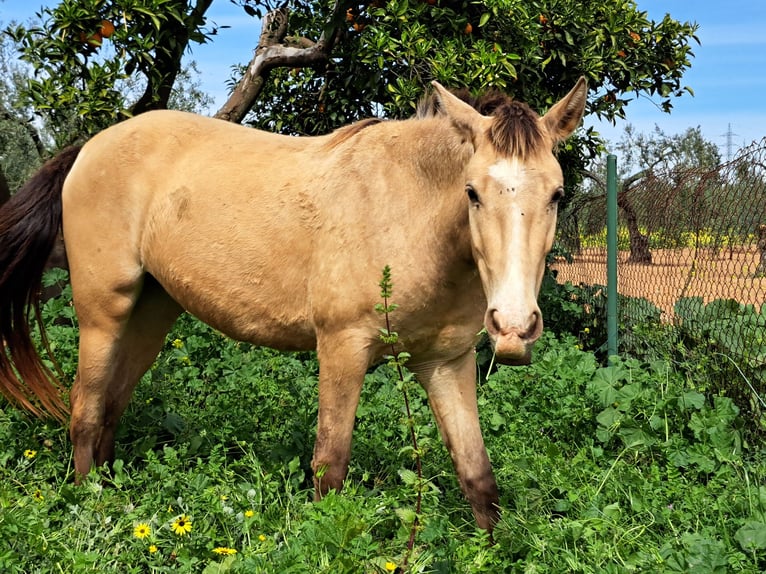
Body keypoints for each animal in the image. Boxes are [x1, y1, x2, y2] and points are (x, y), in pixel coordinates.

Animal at [0, 80, 588, 532]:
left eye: (557, 195)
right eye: (472, 193)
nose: (514, 326)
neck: (405, 212)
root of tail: (90, 147)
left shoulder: (446, 363)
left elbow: (477, 476)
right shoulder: (343, 350)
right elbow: (330, 466)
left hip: (151, 314)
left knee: (111, 409)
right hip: (103, 314)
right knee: (85, 410)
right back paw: (89, 505)